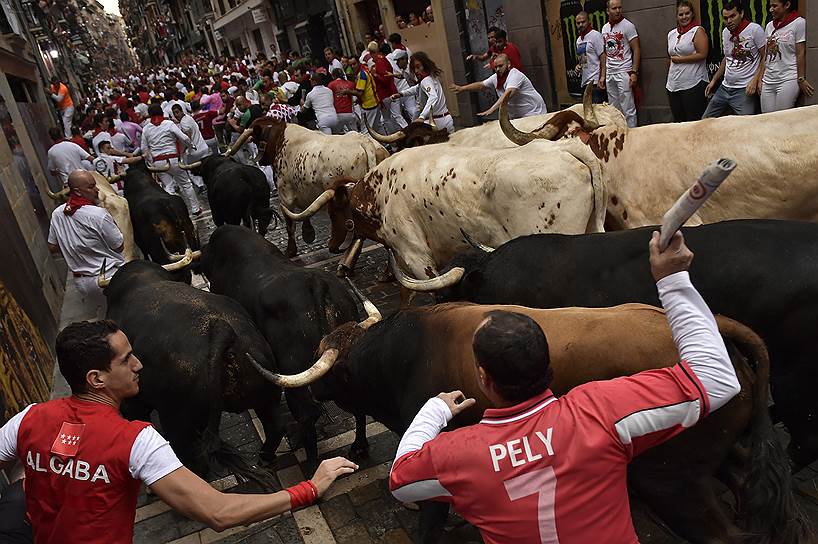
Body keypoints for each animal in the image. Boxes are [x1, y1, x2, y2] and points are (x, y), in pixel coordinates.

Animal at [102, 258, 284, 478]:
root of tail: (223, 331)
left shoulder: (133, 403)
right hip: (266, 392)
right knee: (275, 427)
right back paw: (265, 459)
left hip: (178, 420)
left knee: (189, 456)